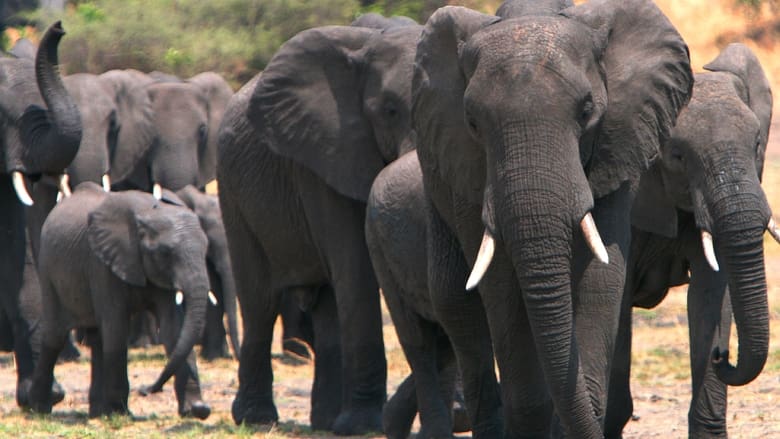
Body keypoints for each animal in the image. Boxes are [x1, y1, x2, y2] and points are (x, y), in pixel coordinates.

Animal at [22, 182, 212, 419]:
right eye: (165, 253)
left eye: (206, 248)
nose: (146, 390)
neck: (149, 213)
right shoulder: (102, 265)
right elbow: (117, 329)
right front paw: (120, 413)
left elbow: (173, 329)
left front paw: (197, 410)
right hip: (48, 270)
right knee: (55, 336)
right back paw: (39, 408)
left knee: (96, 339)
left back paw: (96, 412)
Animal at [217, 21, 422, 434]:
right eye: (390, 110)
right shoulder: (322, 156)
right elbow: (356, 269)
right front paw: (364, 425)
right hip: (233, 194)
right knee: (259, 302)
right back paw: (256, 419)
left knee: (327, 307)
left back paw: (326, 421)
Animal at [411, 1, 692, 436]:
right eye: (472, 122)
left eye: (587, 110)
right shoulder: (468, 166)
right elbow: (502, 285)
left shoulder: (619, 143)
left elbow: (600, 274)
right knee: (457, 305)